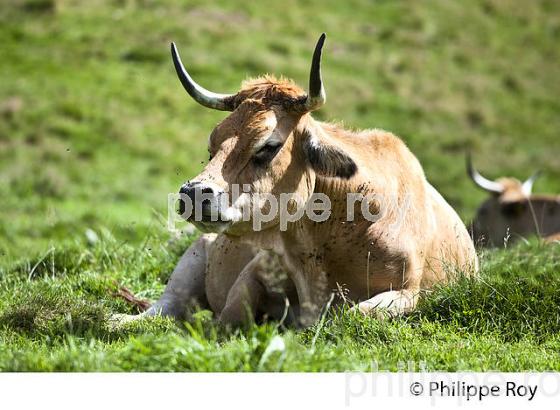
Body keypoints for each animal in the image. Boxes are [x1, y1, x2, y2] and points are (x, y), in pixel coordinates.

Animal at [117, 34, 476, 326]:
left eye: (268, 145)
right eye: (213, 143)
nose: (193, 193)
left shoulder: (410, 292)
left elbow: (355, 314)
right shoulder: (256, 268)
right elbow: (231, 314)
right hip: (193, 257)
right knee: (166, 306)